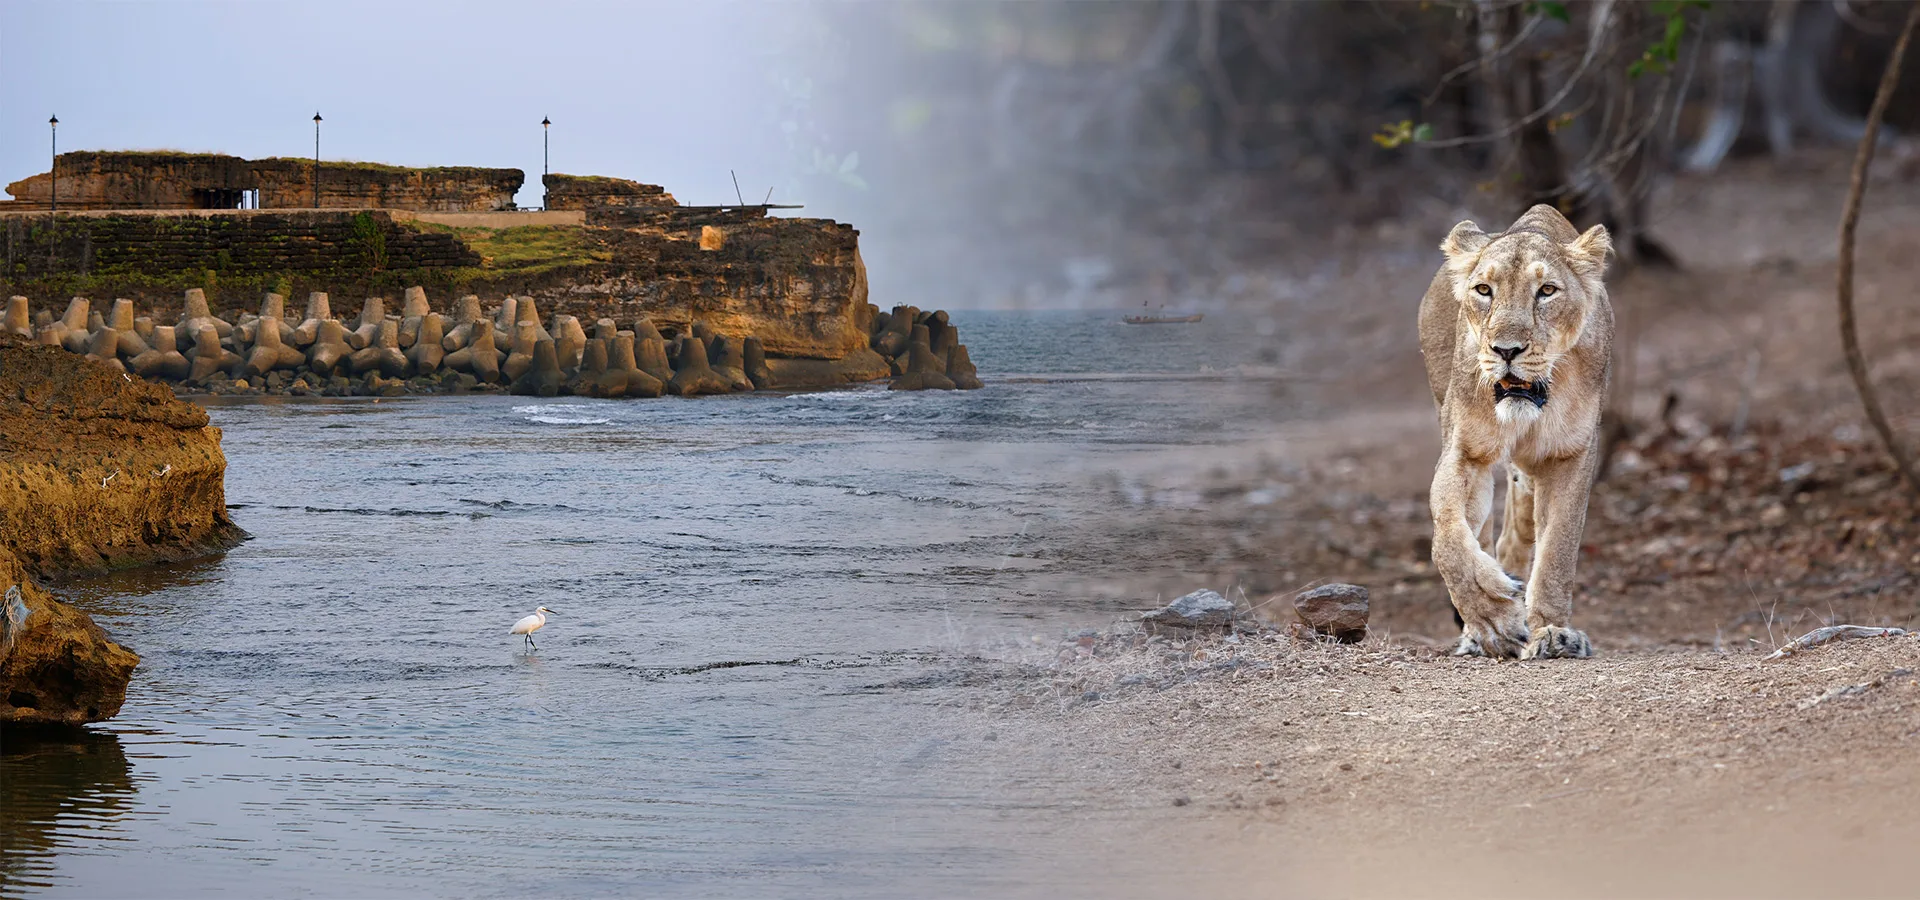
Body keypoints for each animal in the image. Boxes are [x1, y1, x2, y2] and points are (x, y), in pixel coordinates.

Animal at [1417, 204, 1613, 659]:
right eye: (1484, 290)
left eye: (1547, 291)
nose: (1506, 351)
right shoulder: (1465, 450)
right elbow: (1447, 538)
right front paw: (1493, 621)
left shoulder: (1571, 454)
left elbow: (1558, 548)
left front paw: (1553, 631)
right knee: (1484, 532)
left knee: (1517, 529)